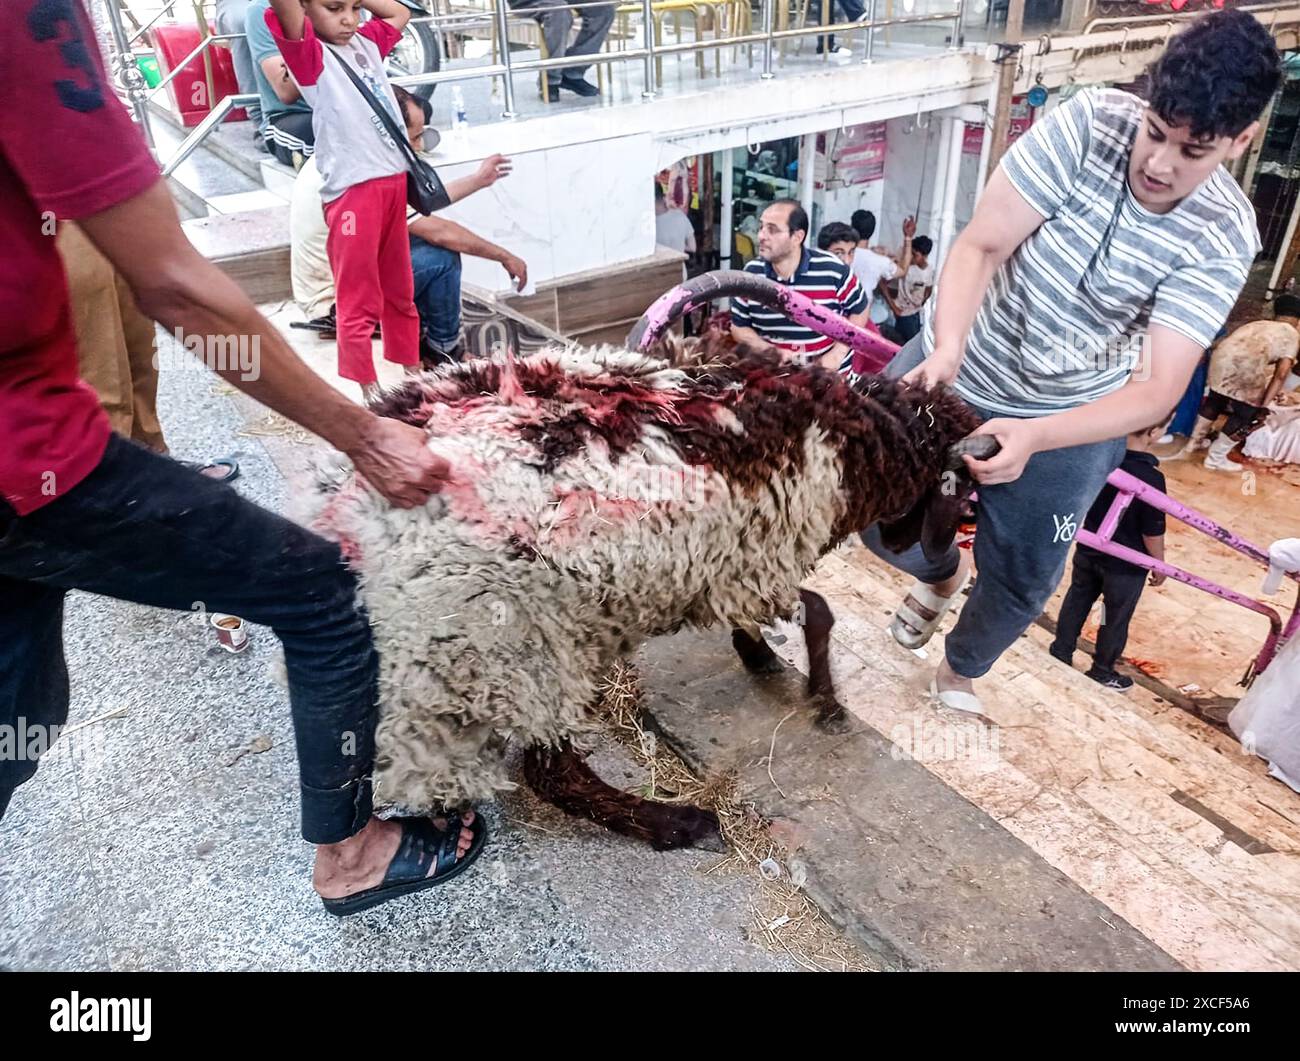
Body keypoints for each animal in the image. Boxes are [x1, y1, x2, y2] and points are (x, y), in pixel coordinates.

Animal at [301, 335, 977, 847]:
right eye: (967, 493)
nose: (941, 561)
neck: (853, 439)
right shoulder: (764, 553)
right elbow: (818, 611)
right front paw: (826, 700)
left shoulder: (733, 554)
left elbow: (788, 614)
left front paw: (759, 654)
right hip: (515, 642)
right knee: (551, 772)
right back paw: (675, 822)